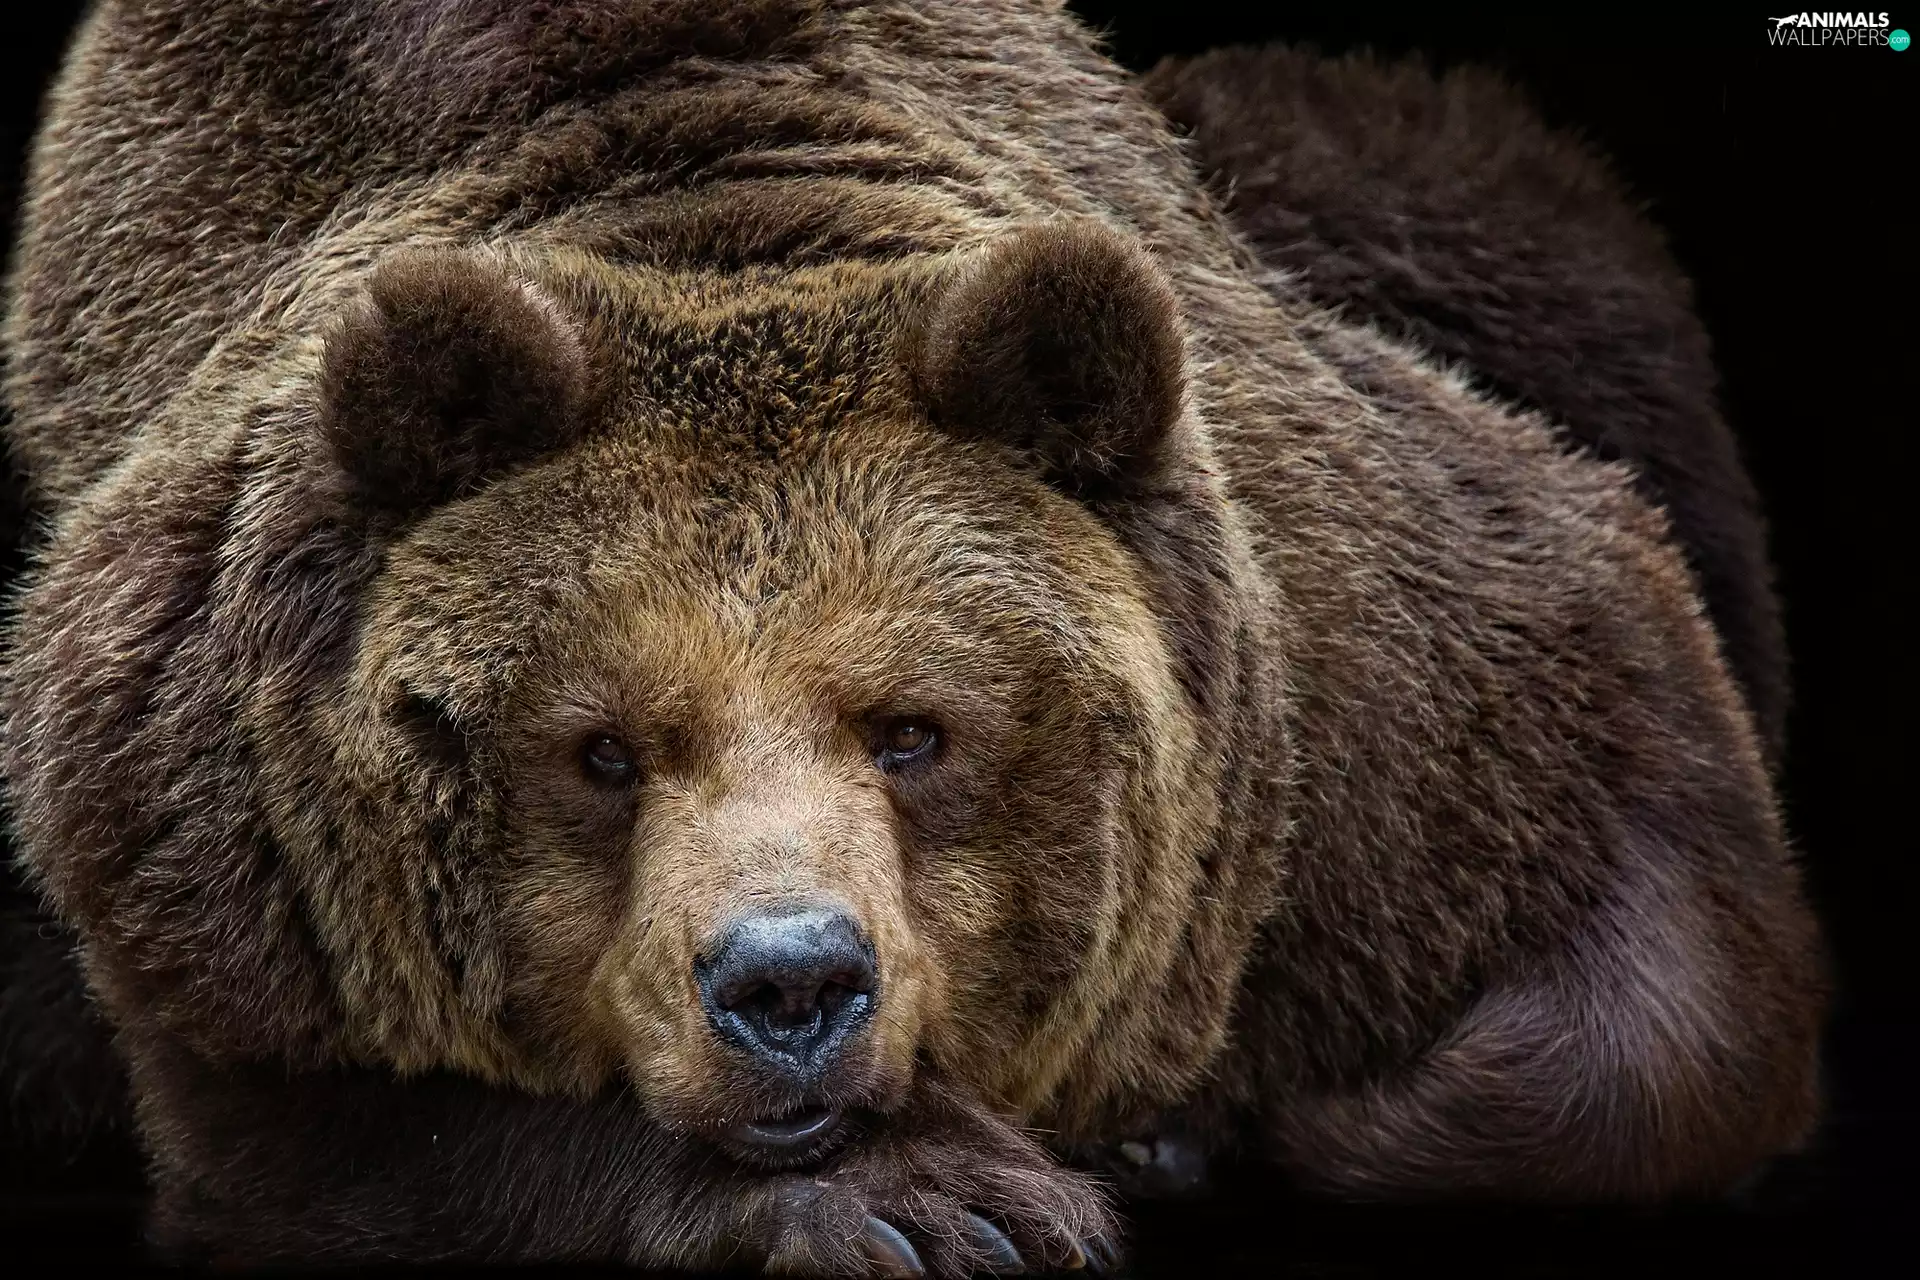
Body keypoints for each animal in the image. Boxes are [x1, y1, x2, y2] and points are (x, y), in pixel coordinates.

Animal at [0, 2, 1823, 1274]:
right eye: (599, 751)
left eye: (915, 729)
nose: (790, 982)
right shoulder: (192, 817)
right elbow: (319, 1134)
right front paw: (937, 1197)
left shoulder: (1365, 695)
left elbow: (1655, 904)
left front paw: (1225, 1132)